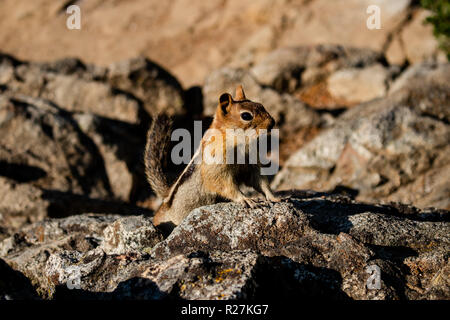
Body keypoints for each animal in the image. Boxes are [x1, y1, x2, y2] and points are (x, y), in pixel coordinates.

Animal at [145, 84, 278, 230]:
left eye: (261, 105)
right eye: (246, 115)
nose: (272, 122)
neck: (239, 141)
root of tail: (164, 202)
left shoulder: (251, 163)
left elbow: (259, 180)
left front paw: (273, 197)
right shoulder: (216, 164)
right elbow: (223, 184)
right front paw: (246, 199)